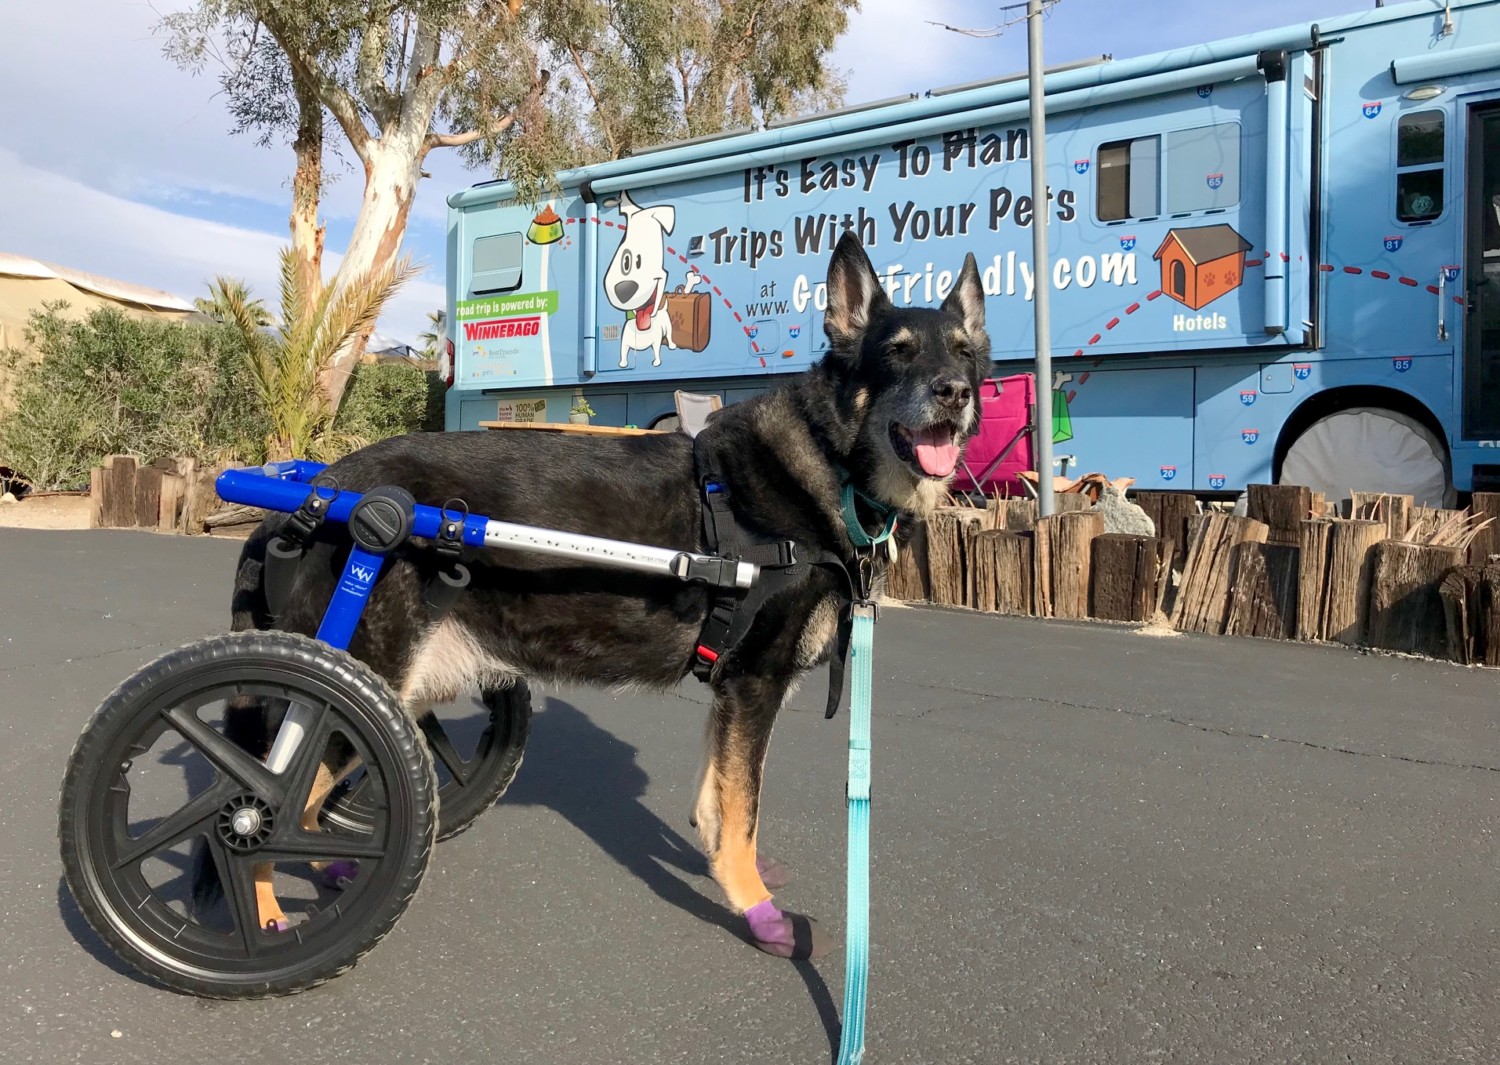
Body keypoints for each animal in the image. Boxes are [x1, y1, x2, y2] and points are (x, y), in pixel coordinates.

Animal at [205, 235, 990, 966]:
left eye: (964, 353)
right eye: (897, 353)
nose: (955, 392)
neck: (825, 463)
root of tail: (318, 490)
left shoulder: (730, 695)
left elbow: (717, 801)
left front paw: (729, 870)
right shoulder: (754, 683)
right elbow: (743, 812)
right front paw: (758, 910)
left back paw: (331, 870)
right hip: (349, 691)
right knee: (258, 806)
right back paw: (269, 927)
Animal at [609, 192, 681, 372]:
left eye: (639, 260)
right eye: (625, 262)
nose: (624, 289)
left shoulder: (656, 342)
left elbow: (656, 351)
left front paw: (656, 362)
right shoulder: (624, 344)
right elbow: (623, 354)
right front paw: (623, 364)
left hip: (668, 328)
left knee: (670, 337)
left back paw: (671, 345)